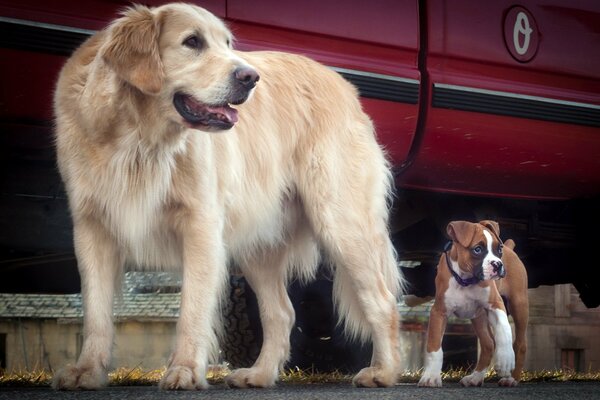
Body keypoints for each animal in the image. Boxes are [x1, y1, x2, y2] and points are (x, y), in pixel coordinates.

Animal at [51, 2, 406, 390]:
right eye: (192, 42)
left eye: (227, 43)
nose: (250, 77)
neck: (138, 140)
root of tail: (342, 84)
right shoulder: (91, 228)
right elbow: (96, 311)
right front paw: (87, 371)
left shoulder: (201, 225)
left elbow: (192, 309)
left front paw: (184, 370)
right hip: (260, 243)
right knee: (282, 313)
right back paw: (260, 374)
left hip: (341, 222)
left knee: (383, 302)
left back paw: (384, 372)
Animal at [418, 220, 528, 386]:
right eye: (477, 249)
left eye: (499, 249)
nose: (498, 264)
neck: (466, 280)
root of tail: (510, 247)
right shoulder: (439, 312)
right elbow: (434, 345)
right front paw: (431, 376)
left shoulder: (496, 304)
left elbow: (504, 329)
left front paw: (505, 359)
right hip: (479, 317)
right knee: (489, 344)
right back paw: (475, 378)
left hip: (518, 305)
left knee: (520, 344)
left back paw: (512, 378)